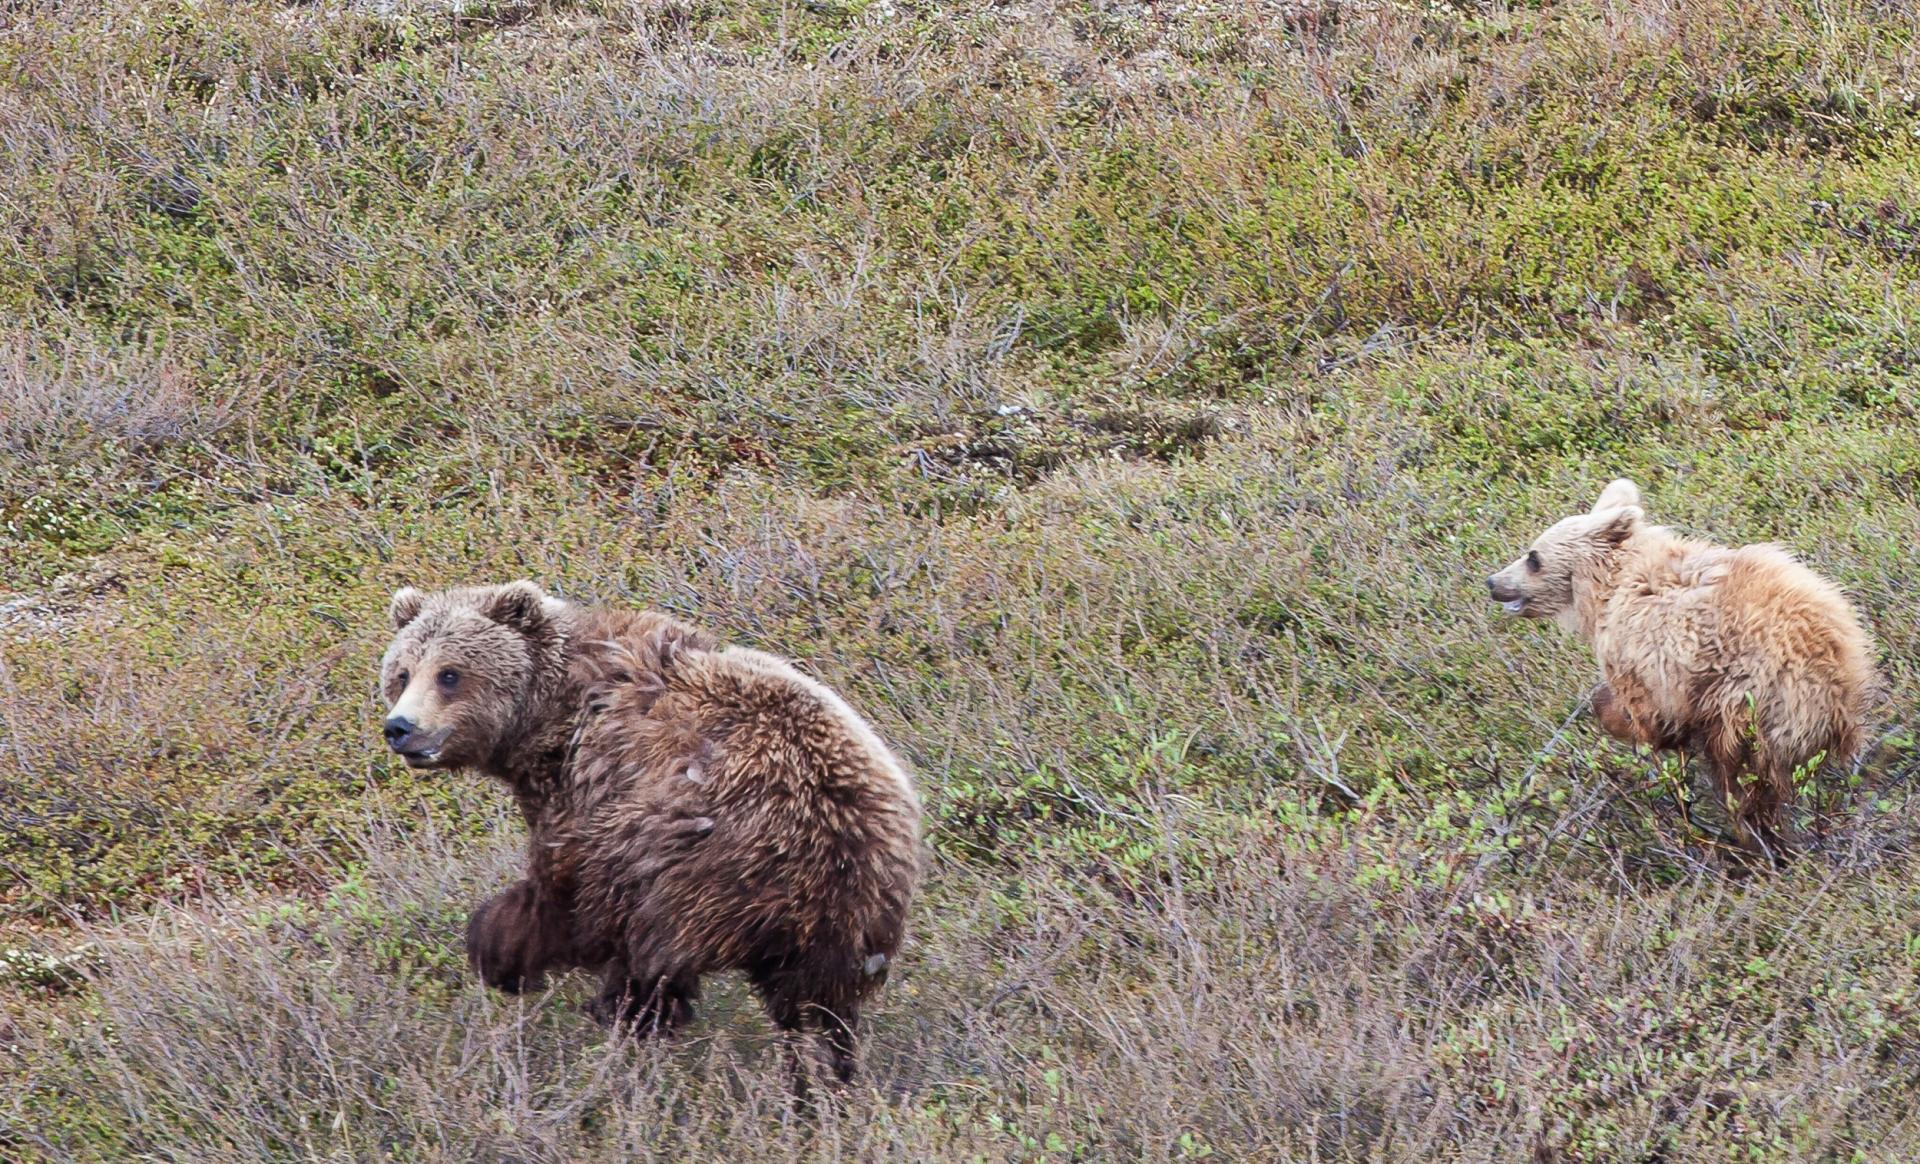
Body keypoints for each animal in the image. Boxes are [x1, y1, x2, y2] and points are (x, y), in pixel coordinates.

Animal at [372, 587, 921, 1091]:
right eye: (402, 673)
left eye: (449, 674)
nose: (400, 727)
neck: (548, 719)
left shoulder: (593, 782)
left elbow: (564, 892)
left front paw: (498, 947)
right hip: (850, 923)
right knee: (819, 1011)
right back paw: (821, 1082)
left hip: (700, 858)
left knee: (647, 950)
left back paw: (624, 1021)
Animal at [1482, 478, 1873, 860]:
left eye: (1533, 557)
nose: (1493, 582)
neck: (1606, 587)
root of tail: (1832, 677)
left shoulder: (1644, 651)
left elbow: (1646, 712)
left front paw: (1622, 719)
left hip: (1752, 705)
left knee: (1741, 779)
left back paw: (1754, 841)